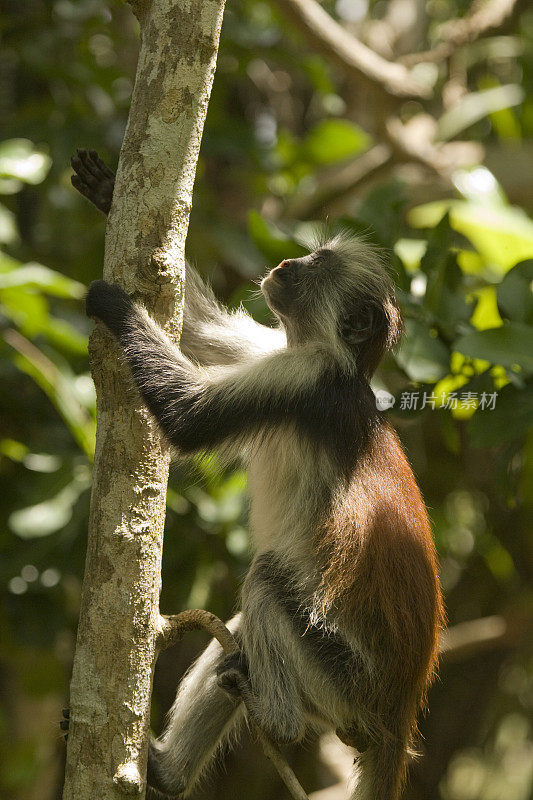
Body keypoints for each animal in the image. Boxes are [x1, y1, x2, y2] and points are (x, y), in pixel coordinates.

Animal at [71, 150, 444, 800]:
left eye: (317, 266)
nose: (287, 263)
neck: (344, 366)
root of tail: (400, 712)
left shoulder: (302, 379)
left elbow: (188, 417)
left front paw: (117, 306)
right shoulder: (280, 356)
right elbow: (207, 337)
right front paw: (106, 190)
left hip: (340, 682)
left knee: (267, 580)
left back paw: (278, 721)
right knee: (239, 636)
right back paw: (167, 771)